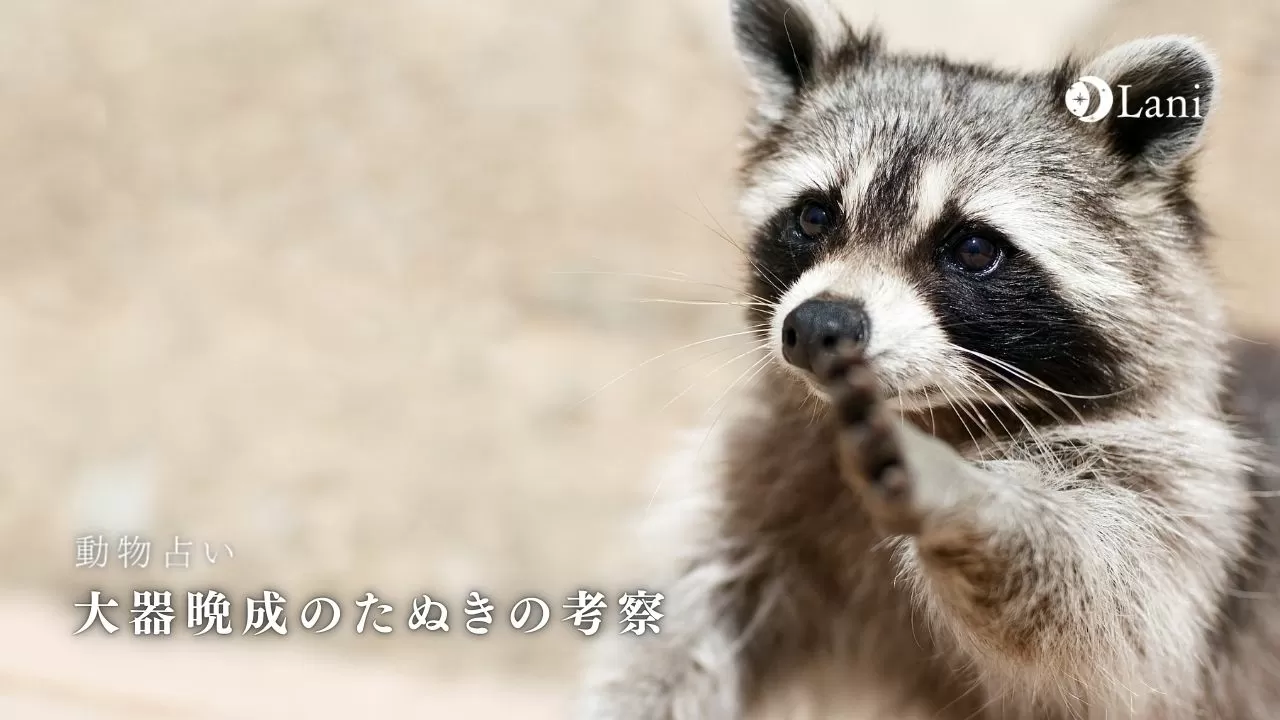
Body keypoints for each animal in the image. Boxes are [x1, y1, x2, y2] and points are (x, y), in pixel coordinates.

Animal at [578, 1, 1280, 717]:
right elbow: (684, 628)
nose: (820, 325)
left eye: (972, 247)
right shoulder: (762, 474)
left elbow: (1109, 601)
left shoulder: (1186, 482)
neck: (939, 411)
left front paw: (975, 499)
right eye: (814, 216)